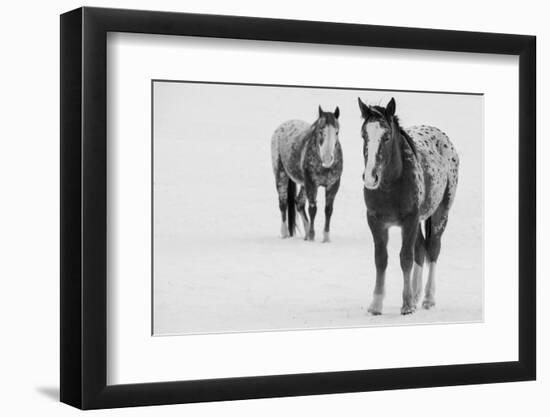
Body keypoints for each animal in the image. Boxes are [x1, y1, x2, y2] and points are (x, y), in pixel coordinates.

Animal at [272, 105, 344, 242]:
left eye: (337, 132)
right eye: (321, 131)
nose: (327, 159)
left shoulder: (333, 185)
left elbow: (328, 210)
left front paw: (326, 239)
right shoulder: (312, 184)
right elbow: (313, 209)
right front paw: (312, 236)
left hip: (303, 184)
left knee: (299, 203)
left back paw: (305, 234)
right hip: (281, 175)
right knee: (283, 204)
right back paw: (285, 234)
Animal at [358, 96, 462, 314]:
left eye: (387, 136)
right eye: (364, 135)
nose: (370, 177)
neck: (392, 184)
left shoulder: (409, 220)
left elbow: (405, 258)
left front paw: (406, 305)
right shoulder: (375, 221)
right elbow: (381, 259)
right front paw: (376, 304)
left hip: (441, 213)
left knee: (432, 249)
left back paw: (428, 299)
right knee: (420, 249)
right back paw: (416, 295)